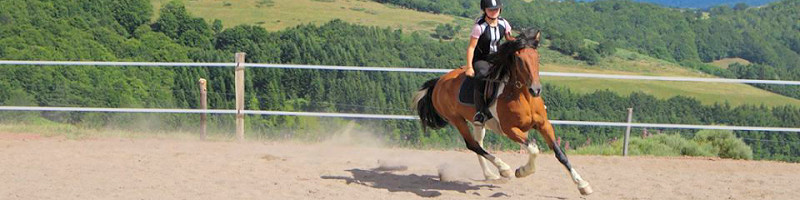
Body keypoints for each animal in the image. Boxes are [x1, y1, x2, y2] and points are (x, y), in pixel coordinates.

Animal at [412, 29, 592, 195]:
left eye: (537, 57)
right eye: (518, 59)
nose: (535, 90)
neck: (523, 96)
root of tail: (439, 82)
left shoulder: (544, 125)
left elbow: (560, 154)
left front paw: (583, 185)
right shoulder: (510, 130)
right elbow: (534, 149)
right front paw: (521, 171)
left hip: (478, 123)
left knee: (478, 143)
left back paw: (490, 175)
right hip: (457, 119)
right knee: (472, 145)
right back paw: (504, 169)